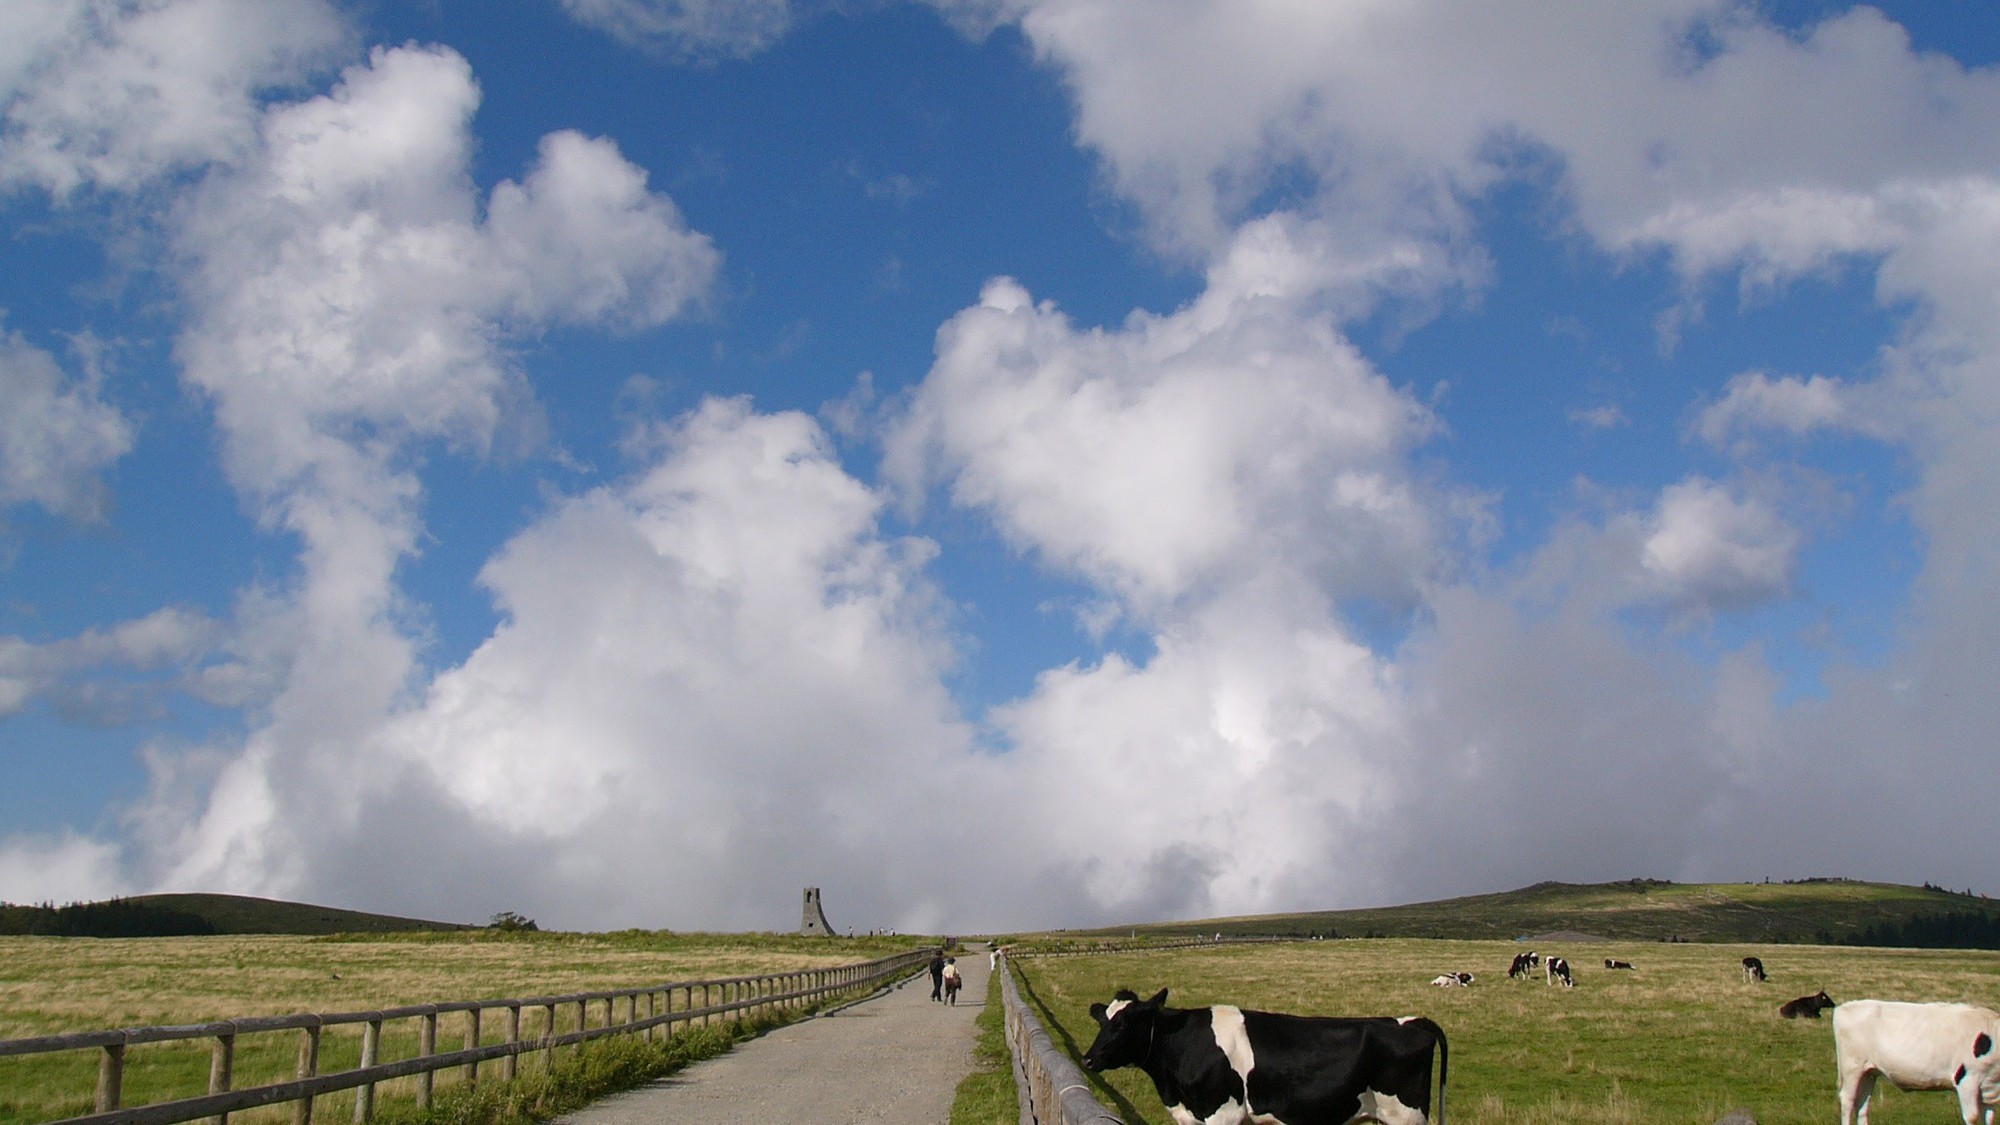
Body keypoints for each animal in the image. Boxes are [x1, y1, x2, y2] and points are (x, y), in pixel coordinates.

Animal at [1088, 980, 1448, 1120]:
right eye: (1102, 1021)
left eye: (1124, 1025)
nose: (1089, 1059)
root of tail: (1409, 1021)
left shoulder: (1223, 1113)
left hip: (1406, 1114)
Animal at [1832, 996, 2000, 1120]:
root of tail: (1844, 1007)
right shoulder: (1967, 1080)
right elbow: (1972, 1117)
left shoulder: (1988, 1088)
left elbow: (1989, 1117)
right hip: (1852, 1068)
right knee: (1847, 1100)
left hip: (1869, 1072)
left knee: (1862, 1105)